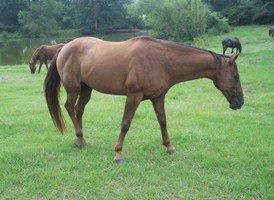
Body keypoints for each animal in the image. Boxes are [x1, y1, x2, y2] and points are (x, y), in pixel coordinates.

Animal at [44, 36, 244, 162]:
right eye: (235, 77)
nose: (240, 102)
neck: (161, 60)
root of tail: (64, 48)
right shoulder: (134, 96)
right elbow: (125, 123)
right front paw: (118, 153)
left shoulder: (158, 97)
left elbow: (162, 121)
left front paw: (169, 147)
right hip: (73, 88)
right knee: (69, 107)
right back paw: (79, 136)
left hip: (86, 89)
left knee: (79, 110)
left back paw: (81, 139)